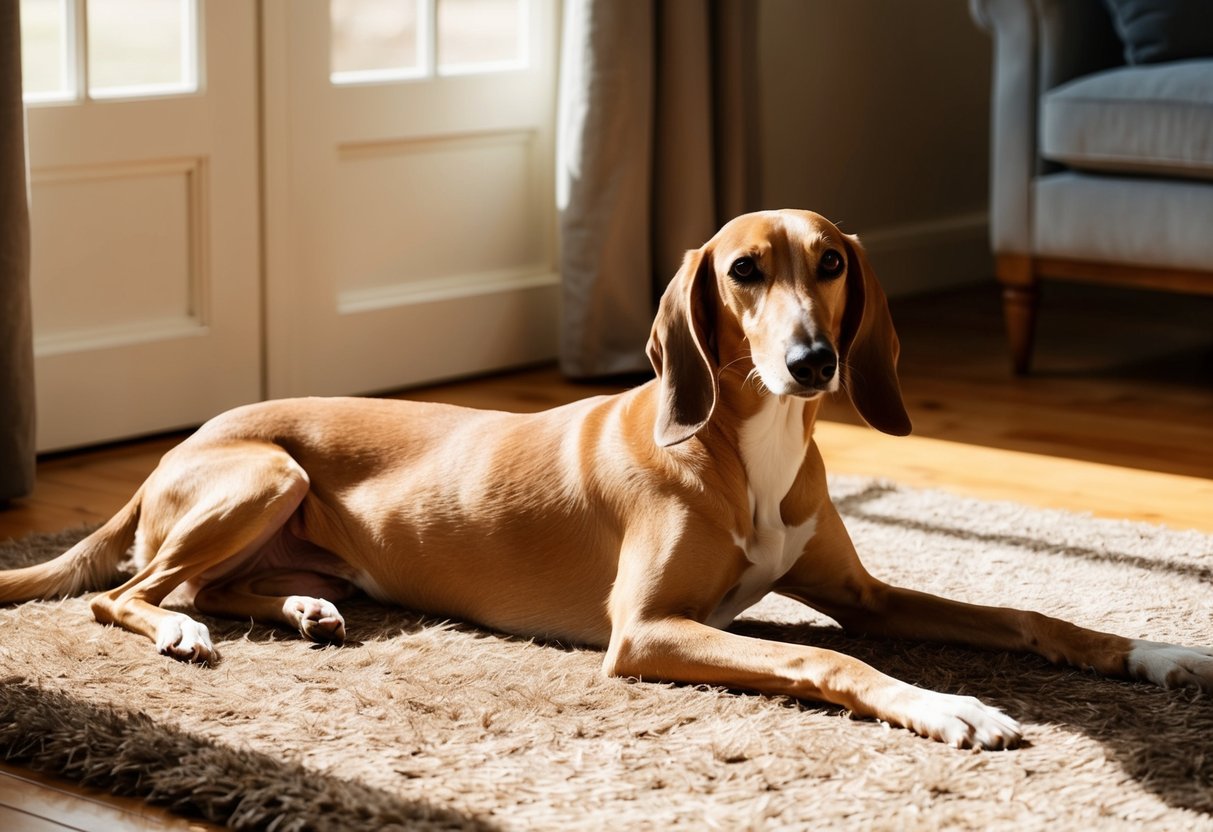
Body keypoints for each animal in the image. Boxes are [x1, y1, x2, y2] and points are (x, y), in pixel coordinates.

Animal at [4, 212, 1208, 751]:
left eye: (829, 263)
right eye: (743, 271)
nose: (813, 361)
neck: (748, 445)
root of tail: (189, 437)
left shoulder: (862, 592)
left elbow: (1027, 611)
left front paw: (1157, 651)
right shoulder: (647, 630)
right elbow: (827, 656)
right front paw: (950, 704)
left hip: (282, 512)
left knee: (207, 584)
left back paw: (298, 606)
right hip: (265, 469)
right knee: (131, 593)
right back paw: (184, 631)